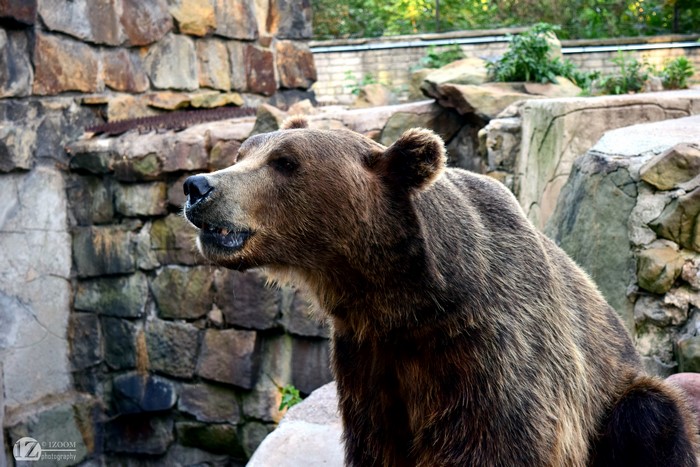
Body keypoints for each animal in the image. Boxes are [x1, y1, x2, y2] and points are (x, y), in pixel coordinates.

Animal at [183, 117, 699, 466]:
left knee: (650, 416)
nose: (196, 186)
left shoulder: (492, 350)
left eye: (285, 162)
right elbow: (378, 443)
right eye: (242, 154)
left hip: (616, 398)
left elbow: (498, 440)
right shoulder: (367, 358)